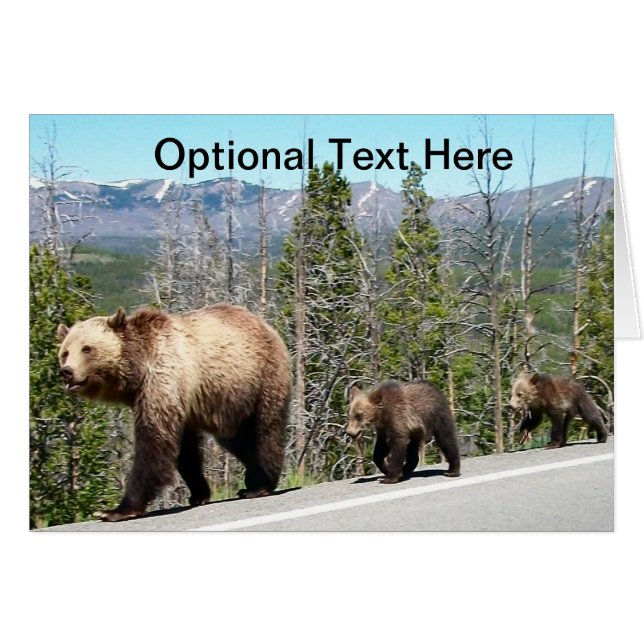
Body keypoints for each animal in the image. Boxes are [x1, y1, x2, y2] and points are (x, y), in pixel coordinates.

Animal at [57, 304, 292, 522]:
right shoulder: (179, 403)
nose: (67, 372)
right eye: (65, 352)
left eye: (87, 348)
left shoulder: (161, 381)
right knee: (238, 441)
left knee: (264, 431)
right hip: (231, 401)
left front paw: (114, 510)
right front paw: (199, 493)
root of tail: (265, 324)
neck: (136, 371)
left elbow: (154, 443)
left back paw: (260, 485)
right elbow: (185, 451)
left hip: (260, 380)